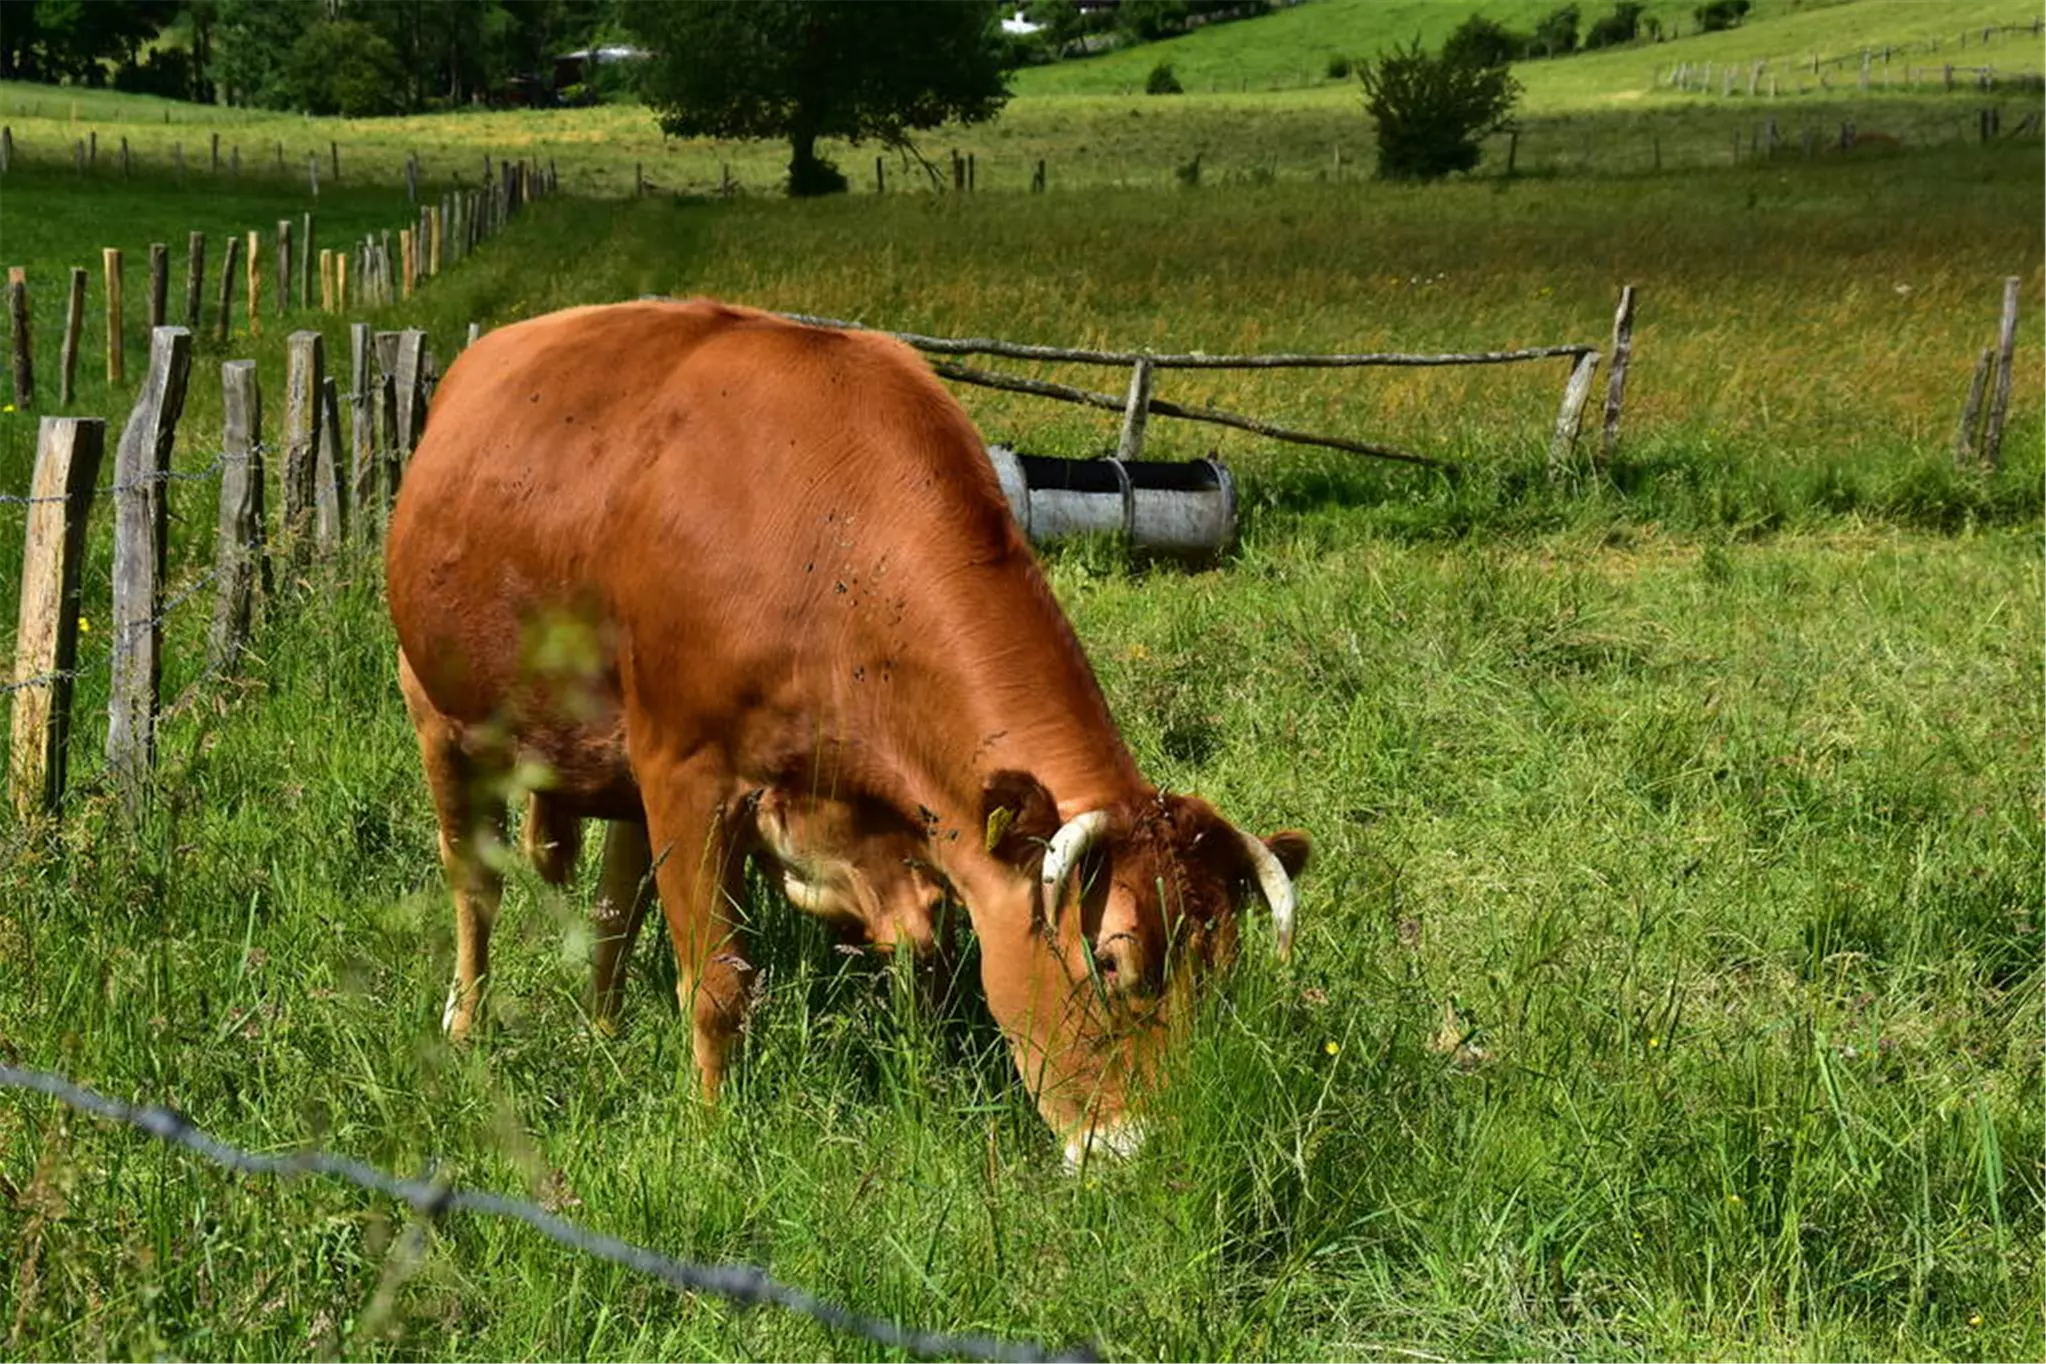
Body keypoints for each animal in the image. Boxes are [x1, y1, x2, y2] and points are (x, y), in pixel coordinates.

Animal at [384, 300, 1309, 1161]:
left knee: (616, 904)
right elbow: (716, 987)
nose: (1146, 1150)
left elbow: (924, 971)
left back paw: (604, 1030)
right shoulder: (687, 770)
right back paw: (465, 1025)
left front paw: (923, 1087)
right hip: (436, 710)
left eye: (1226, 970)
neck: (829, 547)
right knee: (475, 884)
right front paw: (710, 1136)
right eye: (1112, 963)